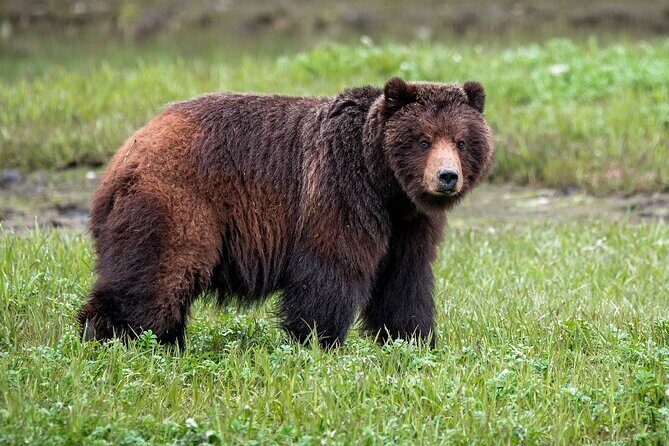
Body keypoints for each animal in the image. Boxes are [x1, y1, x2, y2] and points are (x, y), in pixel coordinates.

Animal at [78, 77, 494, 349]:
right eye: (424, 140)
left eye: (460, 141)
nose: (447, 176)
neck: (384, 183)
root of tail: (127, 150)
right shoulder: (339, 187)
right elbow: (331, 266)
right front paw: (317, 340)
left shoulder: (408, 223)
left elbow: (404, 279)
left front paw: (411, 340)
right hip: (179, 201)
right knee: (159, 274)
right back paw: (110, 335)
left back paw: (165, 341)